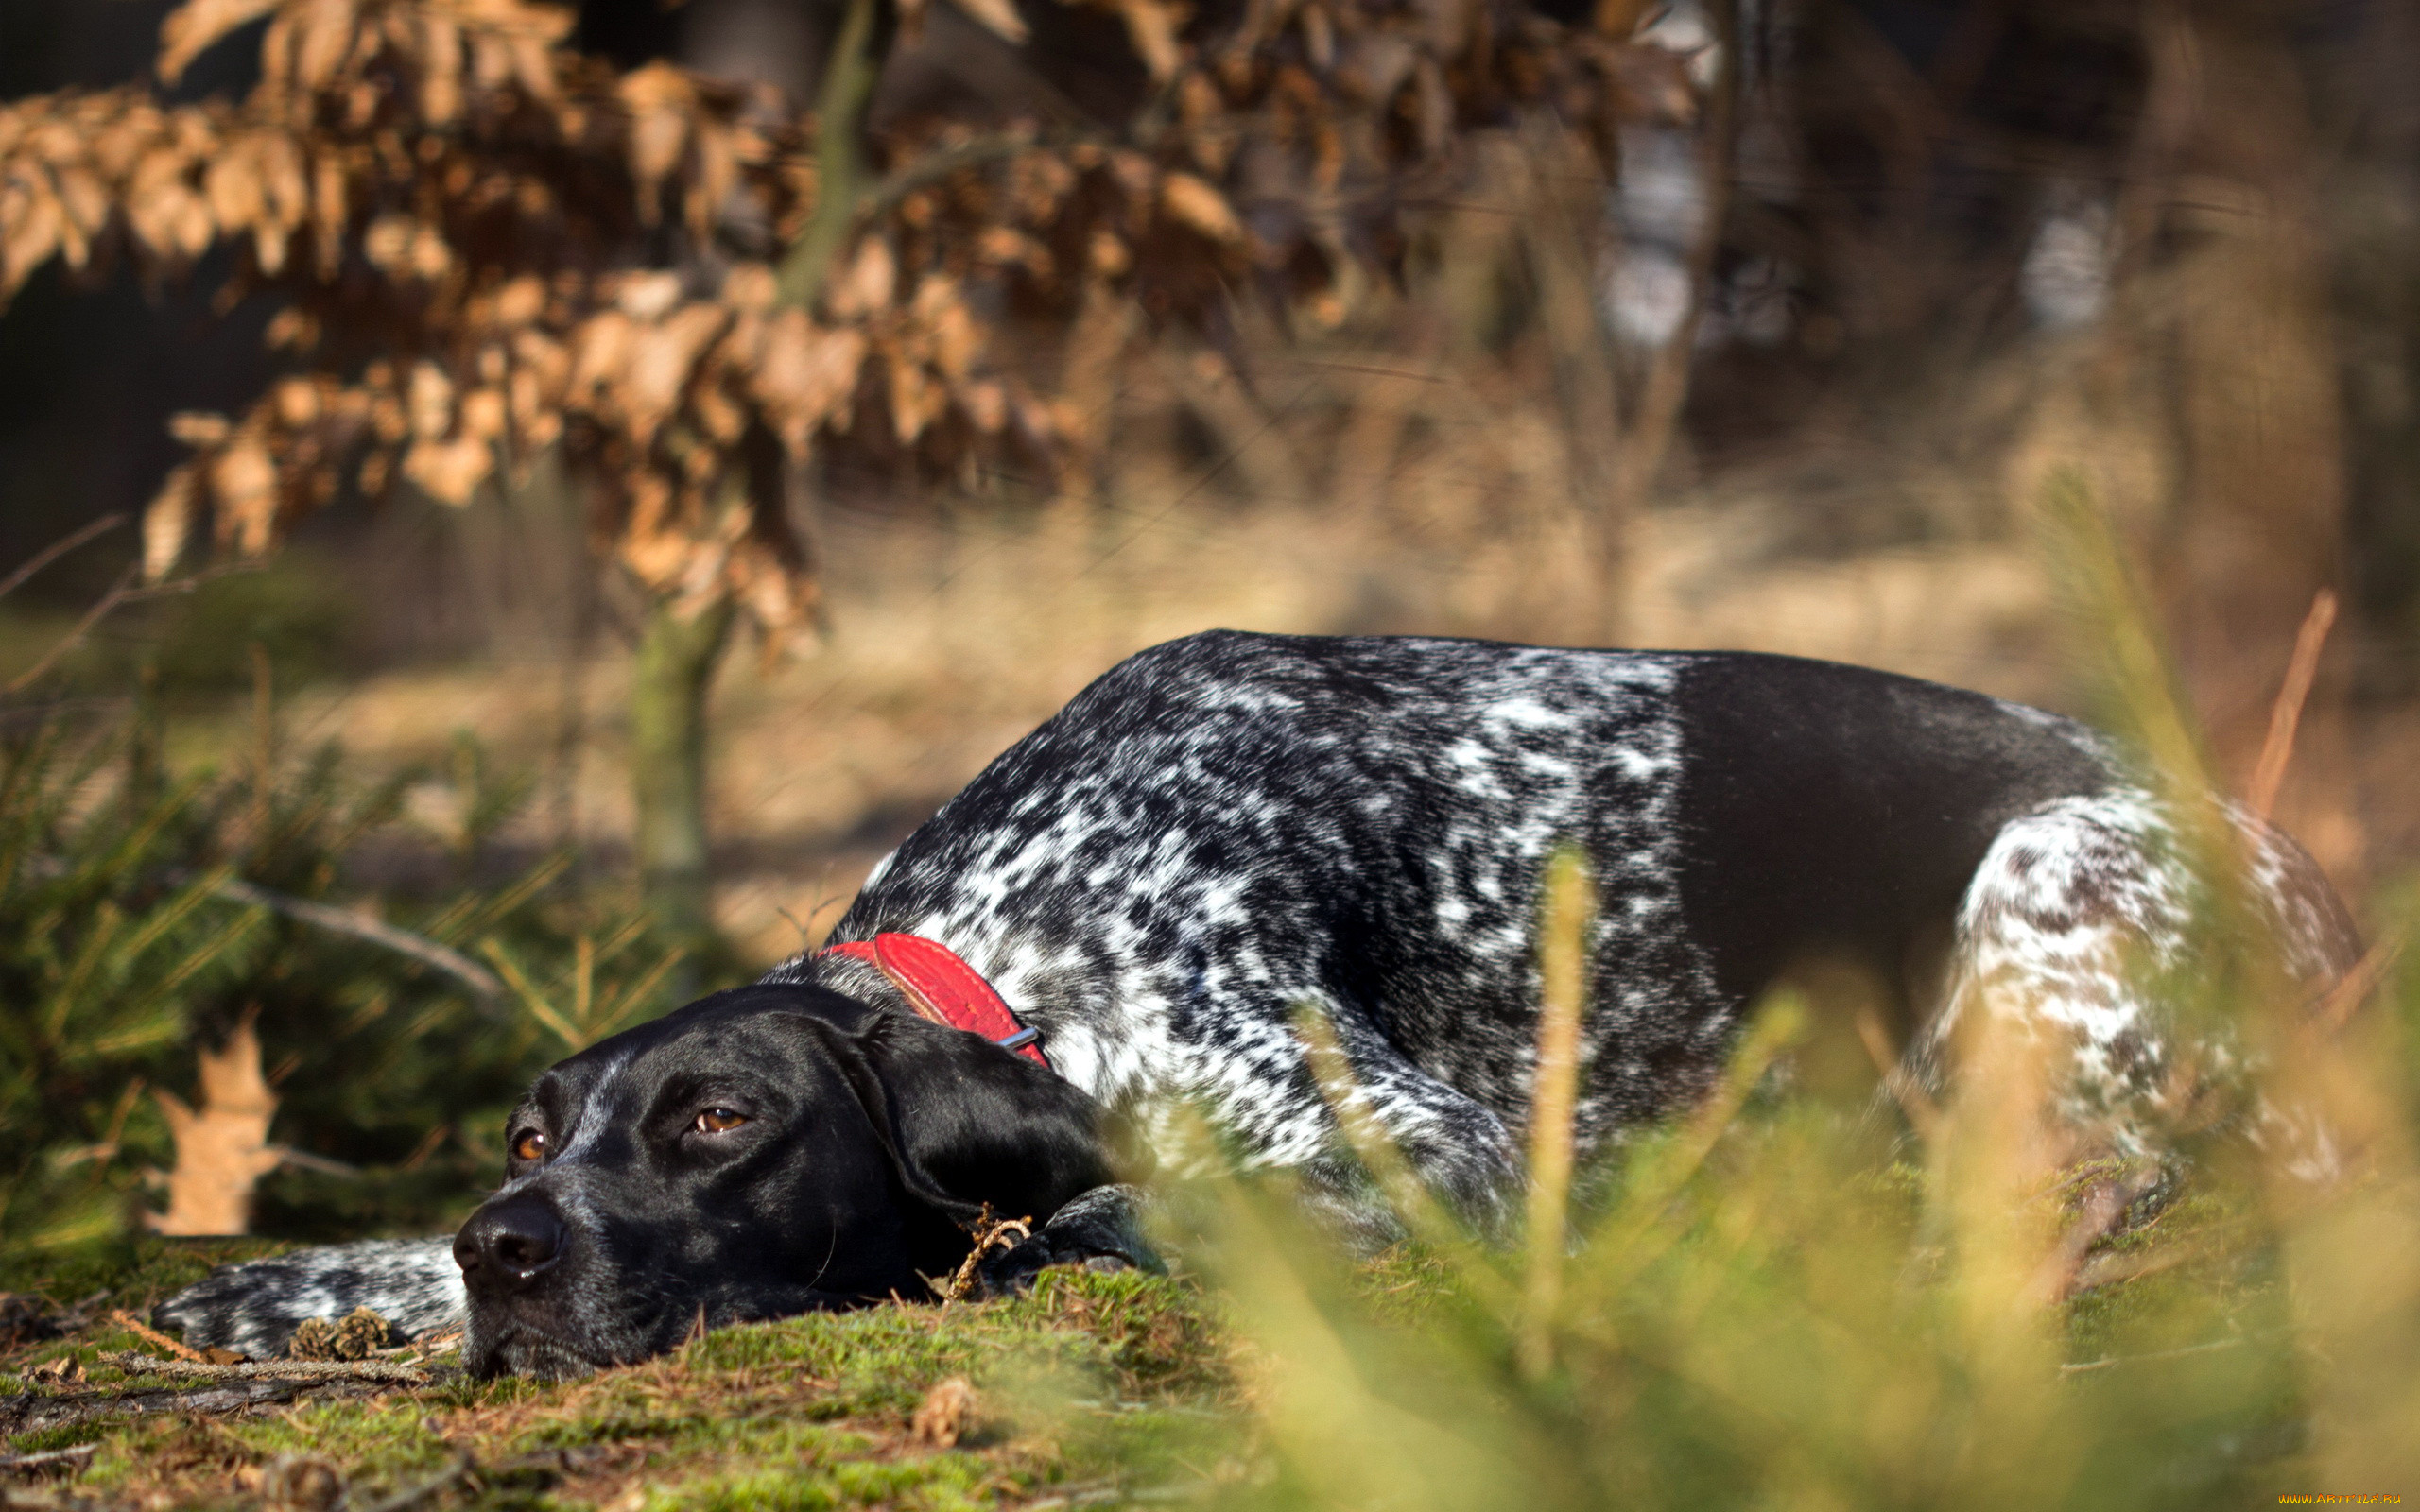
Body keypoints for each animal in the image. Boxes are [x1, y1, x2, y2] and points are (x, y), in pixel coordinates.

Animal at [151, 628, 2342, 1374]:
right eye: (532, 1135)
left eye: (719, 1121)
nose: (507, 1251)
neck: (1023, 945)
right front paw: (293, 1282)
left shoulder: (1439, 1149)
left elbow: (1120, 1210)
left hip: (2040, 881)